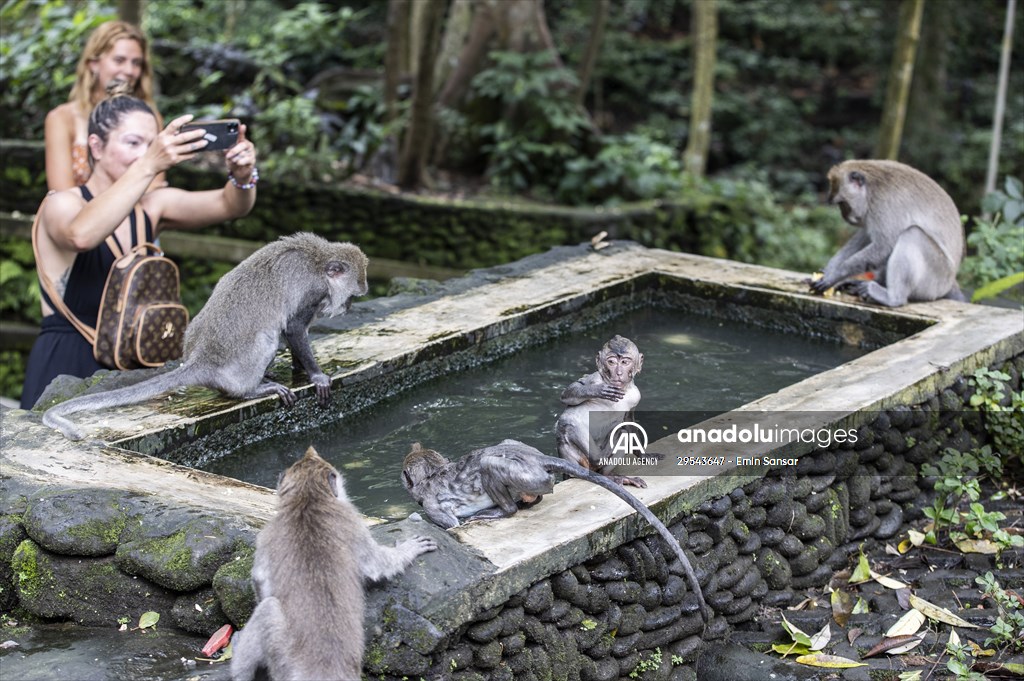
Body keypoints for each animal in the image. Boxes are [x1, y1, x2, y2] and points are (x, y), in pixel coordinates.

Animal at [42, 233, 368, 440]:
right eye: (353, 296)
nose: (348, 307)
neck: (319, 260)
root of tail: (201, 361)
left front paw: (300, 370)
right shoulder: (312, 291)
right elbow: (293, 328)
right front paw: (316, 375)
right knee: (267, 338)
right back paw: (250, 390)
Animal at [231, 445, 437, 681]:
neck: (308, 498)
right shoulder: (350, 520)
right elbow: (376, 564)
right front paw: (409, 548)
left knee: (268, 607)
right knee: (268, 608)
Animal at [402, 439, 710, 621]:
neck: (431, 475)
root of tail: (537, 458)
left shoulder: (433, 505)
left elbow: (448, 523)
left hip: (526, 475)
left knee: (494, 470)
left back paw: (502, 510)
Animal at [555, 335, 647, 488]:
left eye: (625, 362)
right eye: (611, 362)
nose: (618, 373)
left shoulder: (636, 395)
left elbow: (628, 421)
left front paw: (643, 455)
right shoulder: (595, 378)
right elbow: (568, 393)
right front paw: (597, 390)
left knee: (624, 433)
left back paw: (608, 475)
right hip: (578, 459)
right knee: (568, 422)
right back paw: (596, 459)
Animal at [809, 160, 966, 307]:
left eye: (842, 204)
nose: (845, 217)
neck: (872, 188)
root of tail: (950, 282)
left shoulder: (882, 205)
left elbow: (884, 245)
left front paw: (835, 275)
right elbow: (866, 236)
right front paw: (830, 269)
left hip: (935, 281)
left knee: (913, 233)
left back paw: (893, 298)